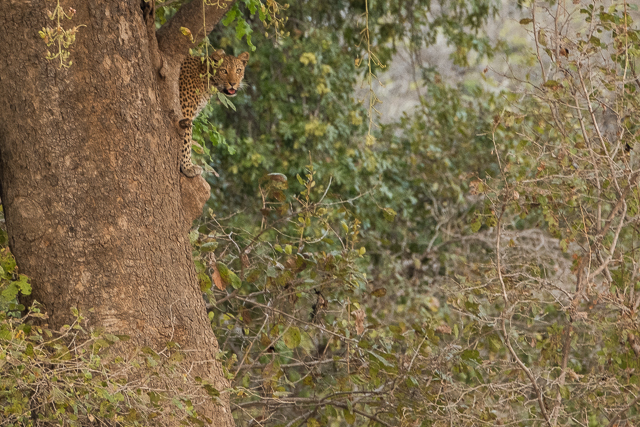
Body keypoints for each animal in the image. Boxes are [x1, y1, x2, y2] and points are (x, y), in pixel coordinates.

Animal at [180, 49, 252, 177]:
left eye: (238, 70)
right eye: (224, 71)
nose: (233, 83)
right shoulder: (186, 112)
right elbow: (186, 140)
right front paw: (187, 167)